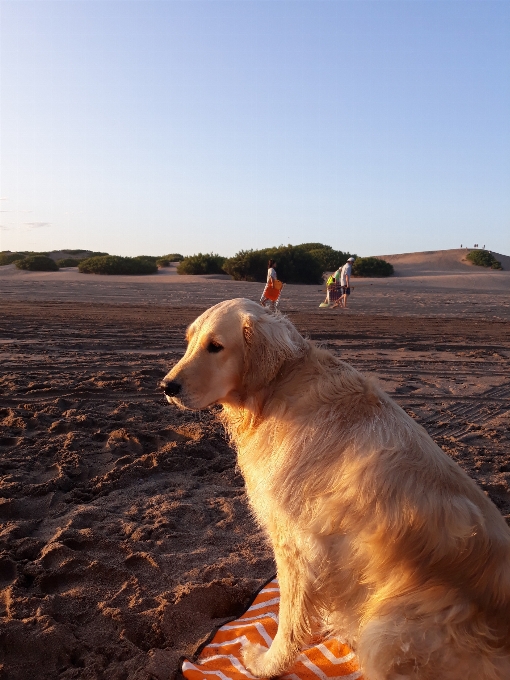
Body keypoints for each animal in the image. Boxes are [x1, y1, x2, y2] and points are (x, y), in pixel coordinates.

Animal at [161, 300, 510, 676]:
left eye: (215, 346)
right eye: (189, 342)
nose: (167, 386)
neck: (278, 386)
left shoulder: (295, 545)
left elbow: (288, 620)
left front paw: (266, 663)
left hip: (386, 630)